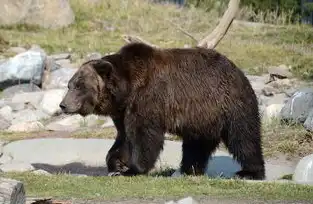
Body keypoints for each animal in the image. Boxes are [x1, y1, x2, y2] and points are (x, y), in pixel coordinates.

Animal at [58, 42, 264, 179]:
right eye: (70, 85)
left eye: (79, 86)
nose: (63, 105)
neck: (126, 88)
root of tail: (238, 70)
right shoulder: (123, 111)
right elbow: (124, 137)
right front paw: (116, 163)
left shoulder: (148, 98)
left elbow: (144, 137)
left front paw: (132, 169)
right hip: (202, 117)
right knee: (196, 144)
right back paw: (189, 169)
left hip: (230, 104)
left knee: (244, 137)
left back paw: (249, 172)